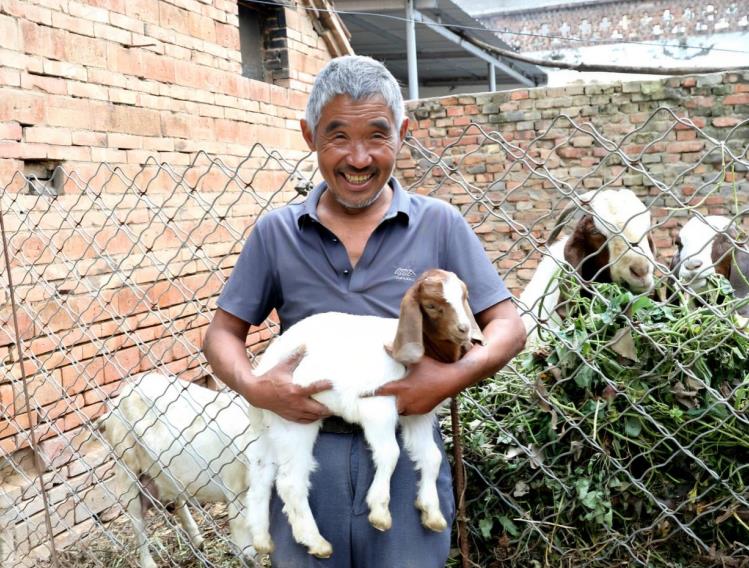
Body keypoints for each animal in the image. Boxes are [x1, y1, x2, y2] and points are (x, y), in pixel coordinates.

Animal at [98, 372, 258, 568]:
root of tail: (112, 411)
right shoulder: (237, 492)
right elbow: (248, 552)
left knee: (177, 498)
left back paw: (198, 541)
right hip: (126, 468)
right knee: (137, 521)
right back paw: (149, 563)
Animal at [245, 270, 486, 560]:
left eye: (464, 296)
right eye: (431, 305)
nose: (464, 329)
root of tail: (263, 369)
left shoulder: (418, 411)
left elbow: (431, 456)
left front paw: (432, 513)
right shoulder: (376, 406)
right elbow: (391, 453)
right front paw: (379, 511)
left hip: (272, 423)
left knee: (261, 471)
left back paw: (261, 539)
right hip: (293, 416)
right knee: (290, 481)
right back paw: (316, 542)